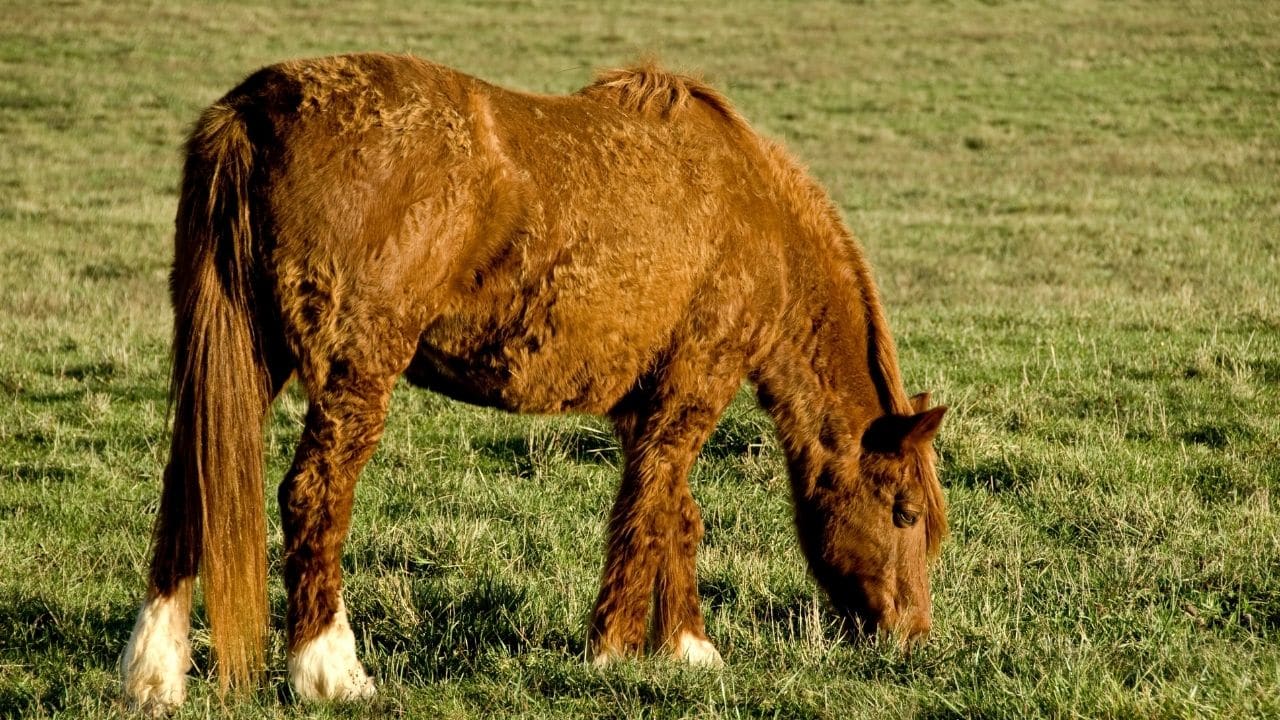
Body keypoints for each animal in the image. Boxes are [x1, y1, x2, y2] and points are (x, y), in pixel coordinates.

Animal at [120, 53, 947, 707]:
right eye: (904, 513)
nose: (910, 638)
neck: (757, 215)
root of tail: (253, 109)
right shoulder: (693, 390)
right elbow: (647, 513)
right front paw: (614, 649)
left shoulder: (644, 407)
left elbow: (672, 513)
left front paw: (687, 647)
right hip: (354, 372)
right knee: (314, 494)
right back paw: (329, 671)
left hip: (240, 356)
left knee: (193, 481)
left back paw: (155, 671)